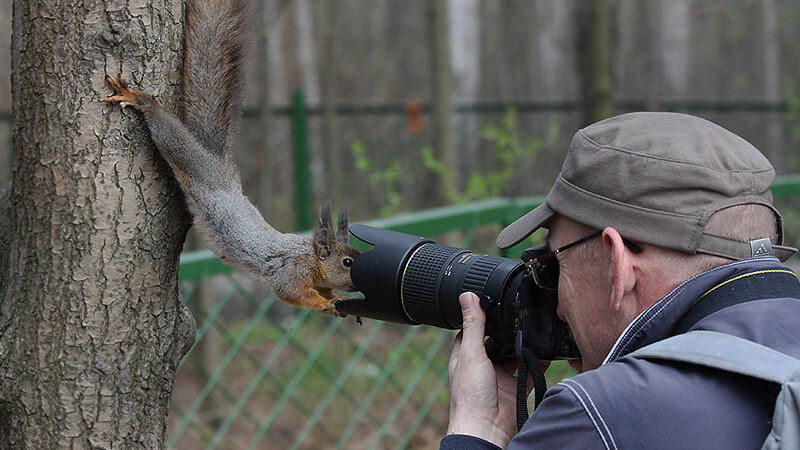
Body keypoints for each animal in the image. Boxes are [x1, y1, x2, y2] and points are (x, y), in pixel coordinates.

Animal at [104, 0, 360, 316]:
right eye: (347, 262)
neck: (310, 256)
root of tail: (218, 163)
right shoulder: (289, 272)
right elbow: (291, 294)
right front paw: (327, 303)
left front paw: (337, 299)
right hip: (190, 160)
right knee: (168, 133)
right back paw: (141, 101)